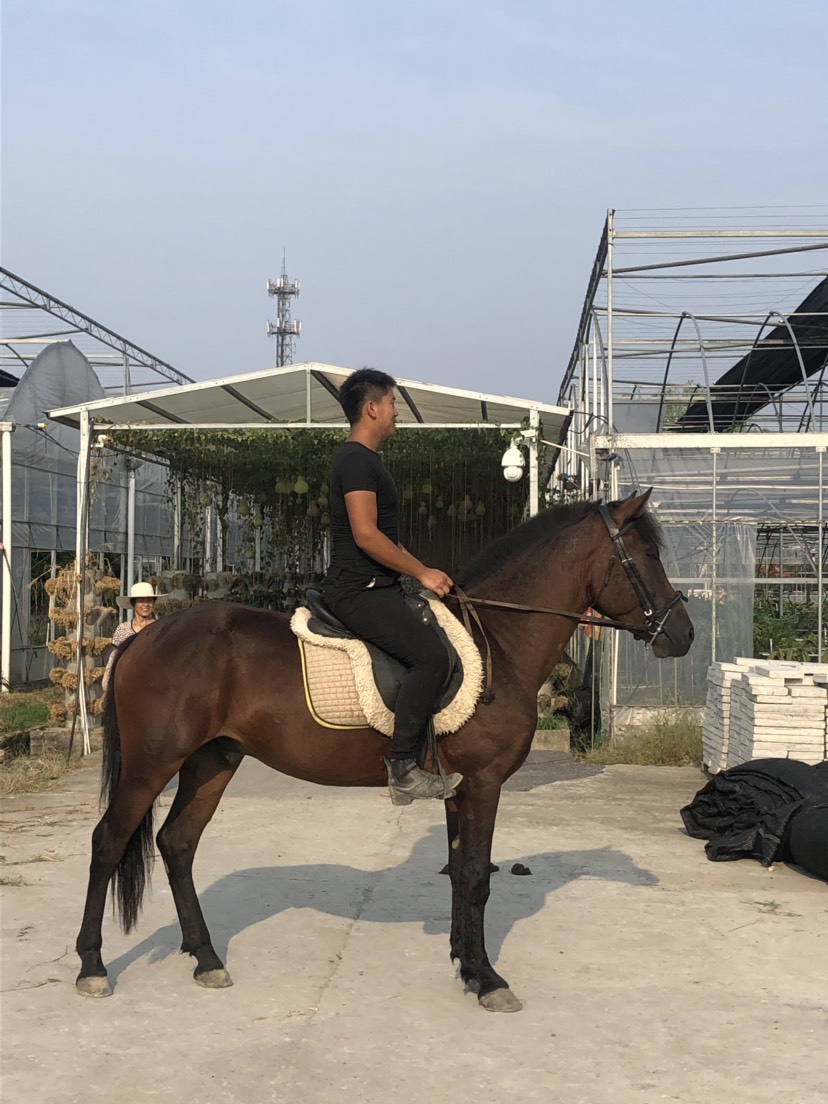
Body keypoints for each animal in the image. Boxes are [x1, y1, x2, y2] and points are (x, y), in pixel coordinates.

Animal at [75, 488, 694, 1012]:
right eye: (646, 555)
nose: (683, 635)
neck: (498, 642)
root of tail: (141, 640)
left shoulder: (460, 788)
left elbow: (459, 870)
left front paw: (465, 964)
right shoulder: (486, 782)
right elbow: (477, 875)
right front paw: (488, 979)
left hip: (212, 761)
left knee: (177, 844)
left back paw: (205, 959)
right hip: (153, 764)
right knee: (108, 842)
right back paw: (92, 967)